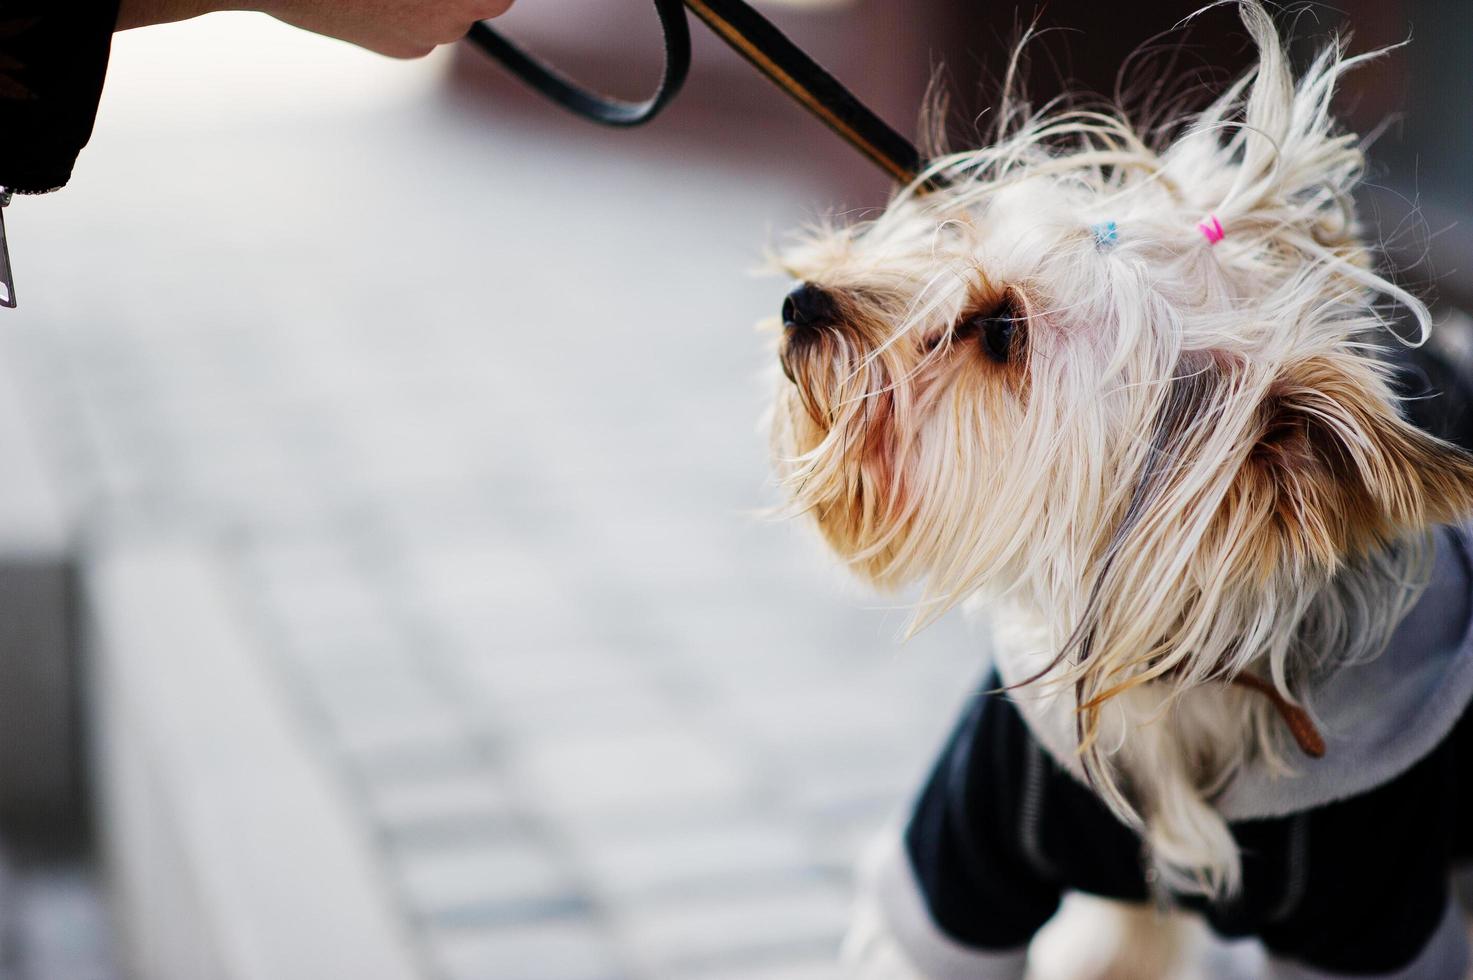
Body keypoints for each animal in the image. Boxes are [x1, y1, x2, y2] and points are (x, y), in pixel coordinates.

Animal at [765, 3, 1473, 972]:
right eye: (958, 236)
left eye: (1000, 330)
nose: (803, 302)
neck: (1169, 664)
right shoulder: (975, 837)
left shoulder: (1381, 904)